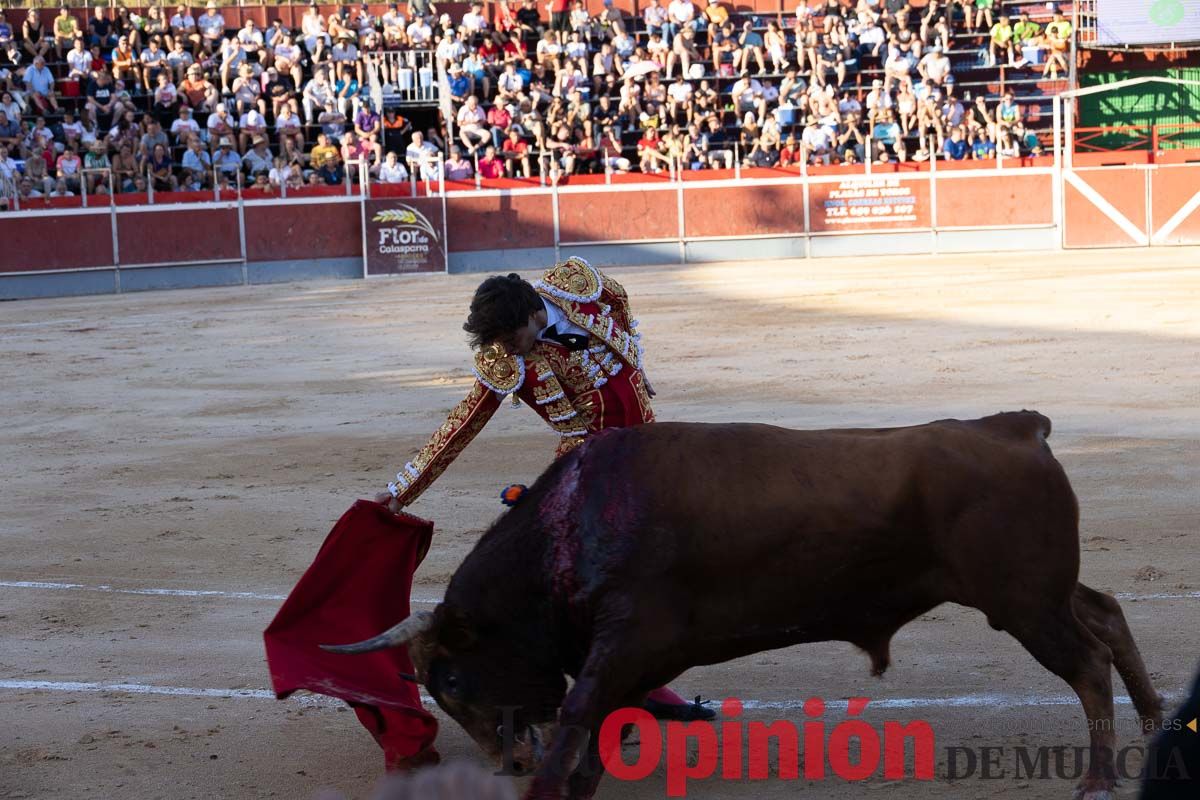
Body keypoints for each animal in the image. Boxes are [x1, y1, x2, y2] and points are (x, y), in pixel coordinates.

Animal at [326, 412, 1161, 800]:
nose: (507, 762)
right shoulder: (629, 656)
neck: (572, 525)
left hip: (1022, 601)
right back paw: (1155, 730)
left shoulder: (627, 639)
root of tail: (1015, 428)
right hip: (1040, 591)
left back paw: (1098, 778)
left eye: (452, 680)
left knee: (1087, 662)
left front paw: (546, 784)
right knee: (1108, 615)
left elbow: (579, 715)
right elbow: (596, 725)